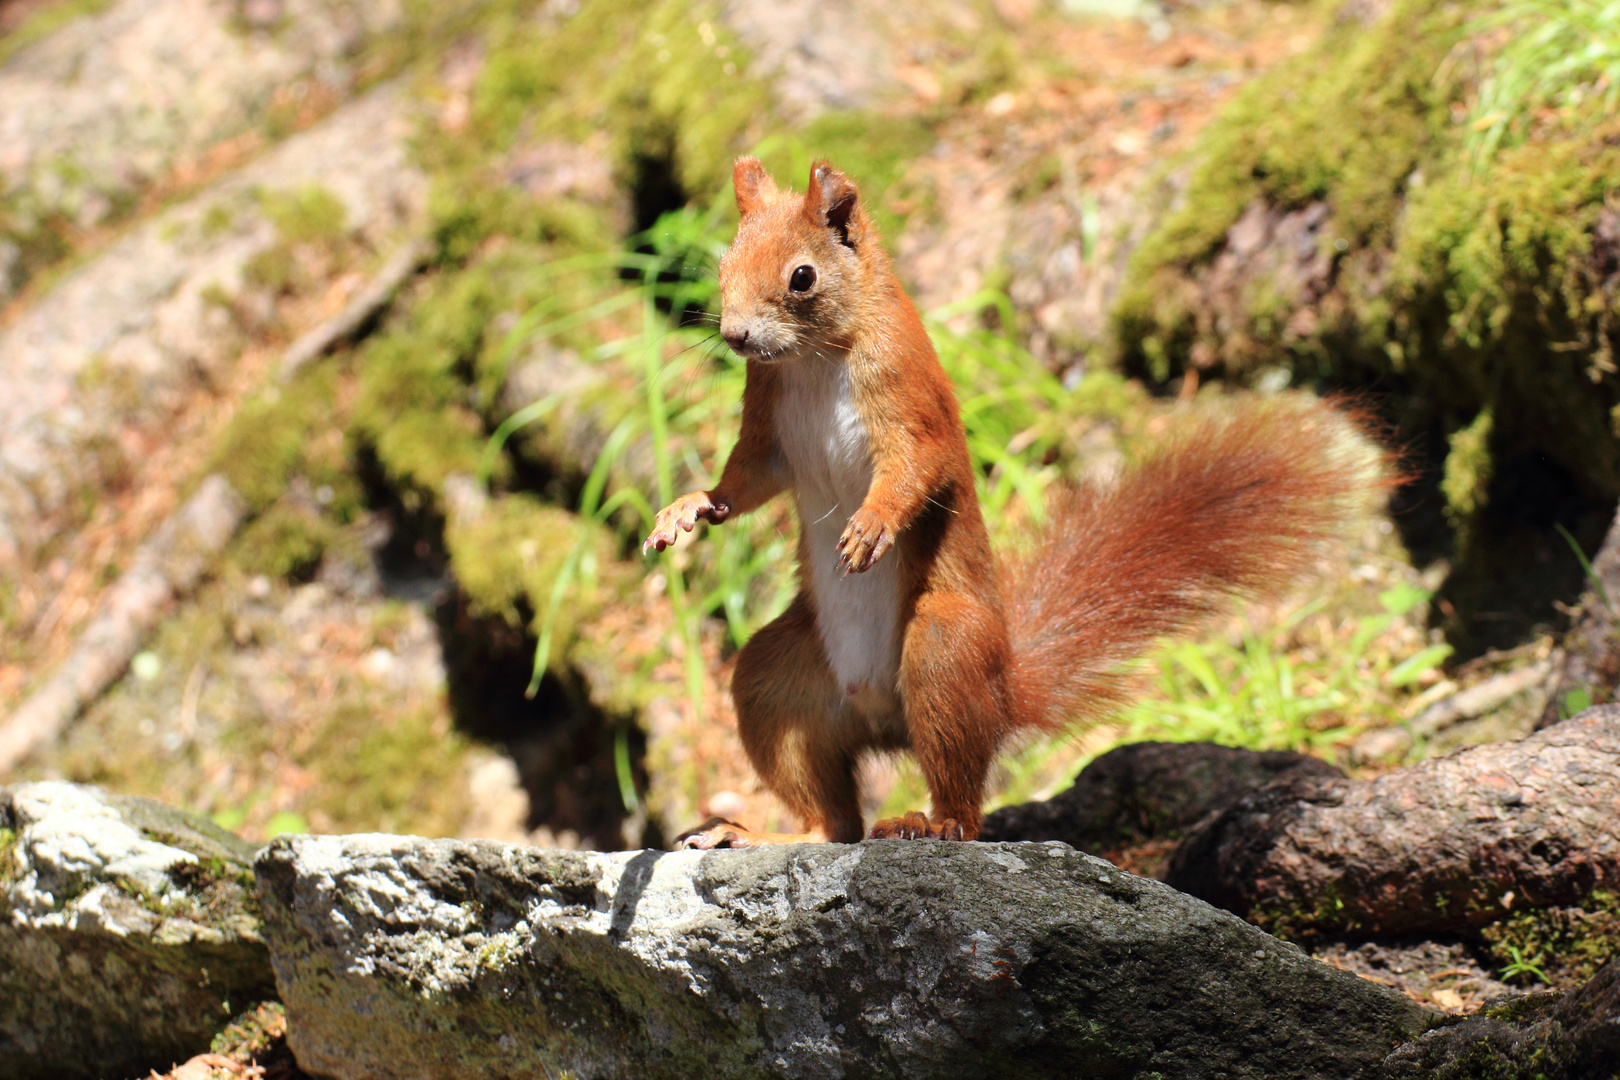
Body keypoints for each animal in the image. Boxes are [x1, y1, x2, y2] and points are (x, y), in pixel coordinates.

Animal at [644, 158, 1380, 841]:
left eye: (802, 277)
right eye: (725, 264)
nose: (735, 336)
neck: (815, 359)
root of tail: (1001, 695)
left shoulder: (909, 396)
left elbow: (914, 469)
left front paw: (872, 523)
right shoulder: (767, 422)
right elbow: (746, 479)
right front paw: (688, 507)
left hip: (945, 647)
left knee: (963, 800)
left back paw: (932, 824)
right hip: (778, 683)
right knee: (833, 816)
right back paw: (765, 834)